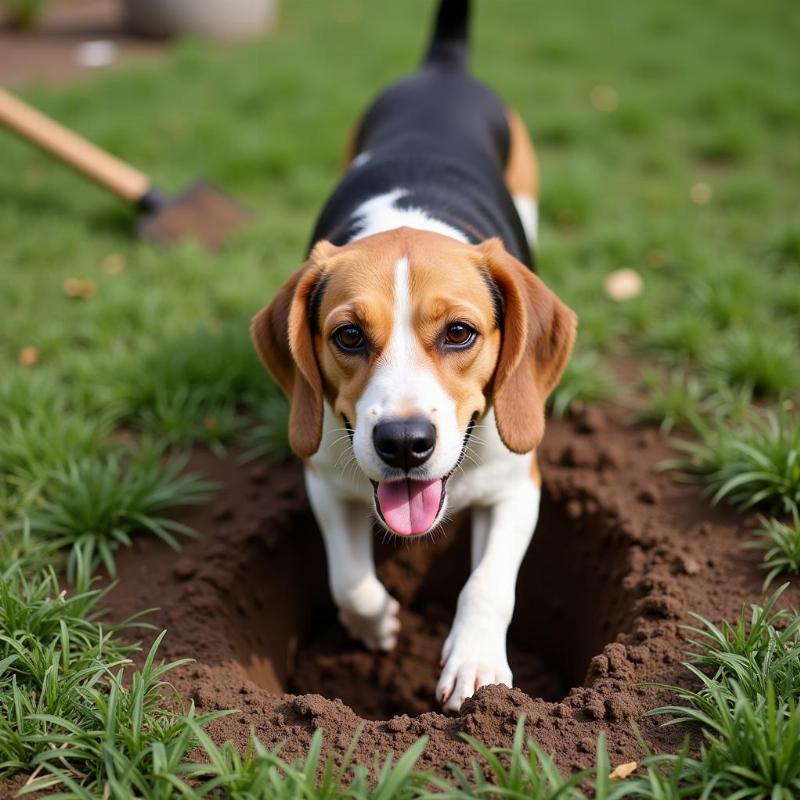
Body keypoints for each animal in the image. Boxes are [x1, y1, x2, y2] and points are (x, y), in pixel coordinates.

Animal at [250, 0, 576, 712]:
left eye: (459, 333)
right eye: (348, 337)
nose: (403, 443)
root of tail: (442, 69)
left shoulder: (519, 486)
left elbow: (488, 582)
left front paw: (477, 664)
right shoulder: (323, 475)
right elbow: (348, 579)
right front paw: (376, 627)